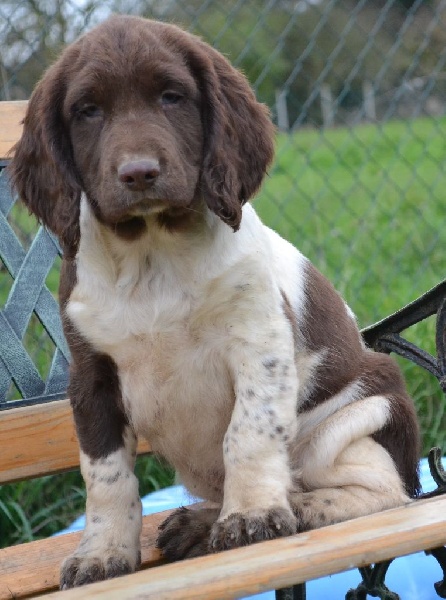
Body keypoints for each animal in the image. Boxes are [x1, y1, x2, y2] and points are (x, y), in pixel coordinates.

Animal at [9, 15, 420, 589]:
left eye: (172, 96)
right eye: (87, 110)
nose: (138, 172)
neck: (153, 254)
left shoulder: (259, 345)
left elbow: (247, 436)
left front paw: (251, 516)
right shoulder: (92, 376)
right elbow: (106, 475)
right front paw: (102, 553)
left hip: (358, 415)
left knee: (382, 490)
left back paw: (300, 508)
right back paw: (203, 522)